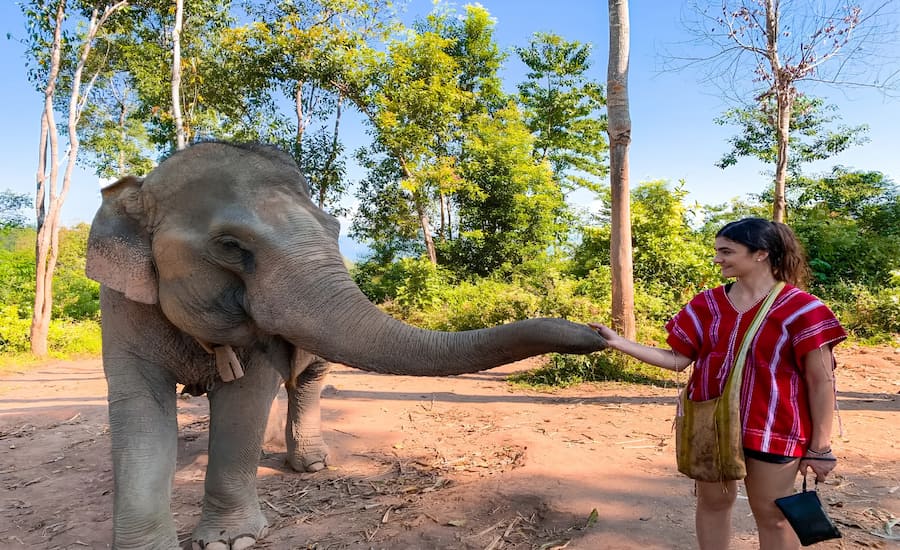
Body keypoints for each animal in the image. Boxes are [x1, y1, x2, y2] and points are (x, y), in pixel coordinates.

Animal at [85, 140, 608, 549]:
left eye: (335, 230)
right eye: (231, 246)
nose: (597, 332)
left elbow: (246, 399)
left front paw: (231, 540)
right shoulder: (120, 306)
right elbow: (139, 408)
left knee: (308, 379)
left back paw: (311, 464)